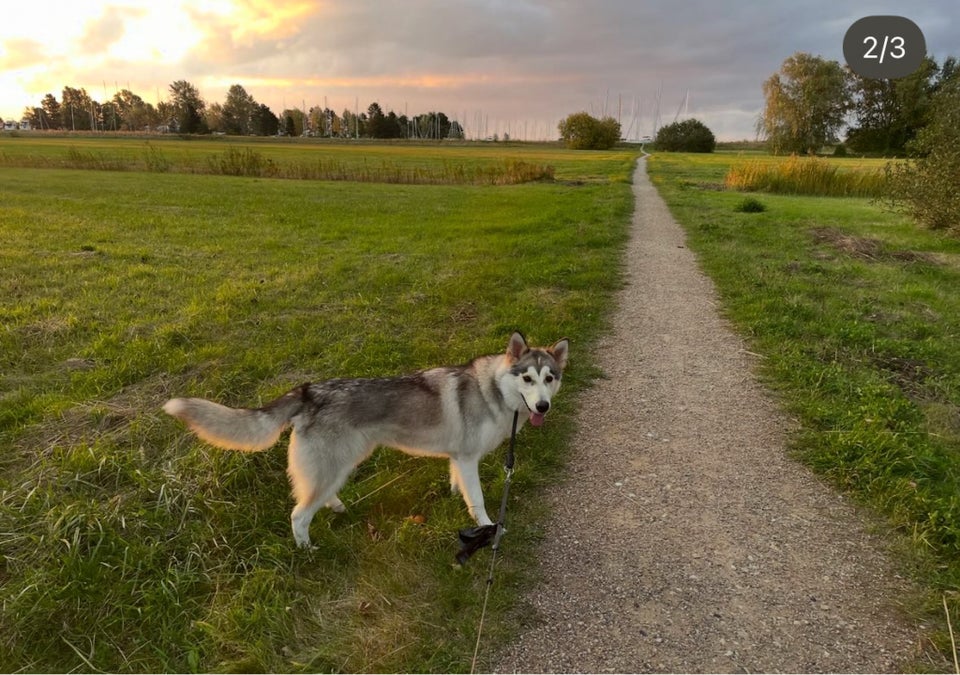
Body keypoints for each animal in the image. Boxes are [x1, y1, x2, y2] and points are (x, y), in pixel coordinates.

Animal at [164, 332, 568, 548]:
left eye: (549, 378)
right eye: (527, 378)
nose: (543, 407)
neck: (494, 391)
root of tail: (309, 391)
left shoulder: (459, 458)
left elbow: (459, 485)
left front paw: (456, 495)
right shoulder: (469, 458)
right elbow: (480, 501)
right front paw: (489, 527)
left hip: (338, 465)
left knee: (314, 497)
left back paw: (337, 508)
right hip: (337, 465)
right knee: (299, 514)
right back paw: (307, 549)